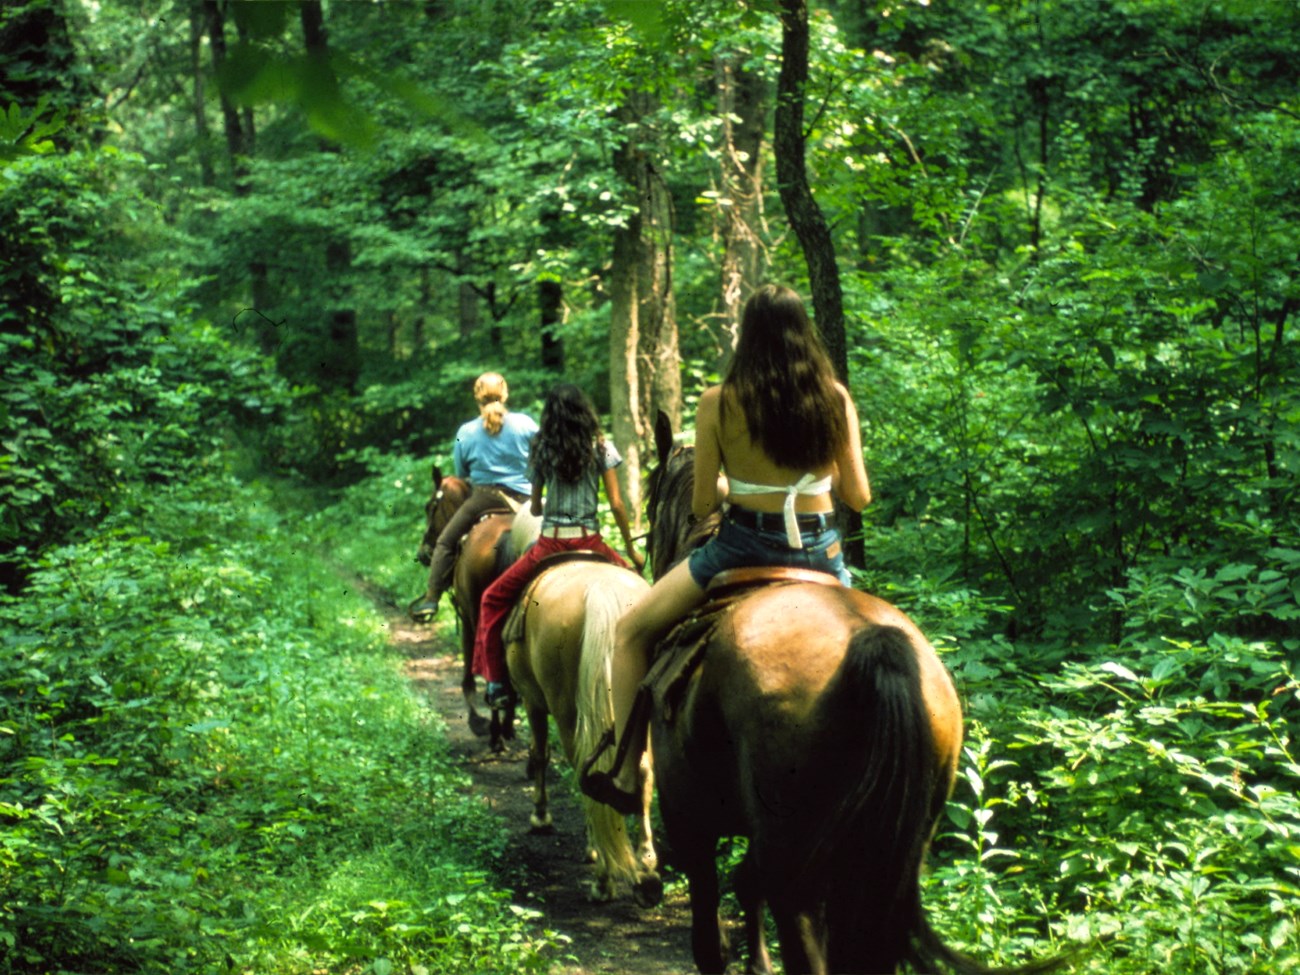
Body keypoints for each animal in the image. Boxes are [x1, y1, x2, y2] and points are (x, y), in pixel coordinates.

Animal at [499, 522, 660, 904]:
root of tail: (604, 593)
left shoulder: (533, 701)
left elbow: (540, 754)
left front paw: (541, 817)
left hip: (566, 709)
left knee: (586, 770)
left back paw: (603, 878)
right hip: (641, 708)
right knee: (642, 771)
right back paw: (647, 869)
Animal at [644, 416, 1060, 975]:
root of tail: (873, 644)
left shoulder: (689, 820)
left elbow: (711, 936)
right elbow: (745, 885)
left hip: (798, 865)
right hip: (886, 856)